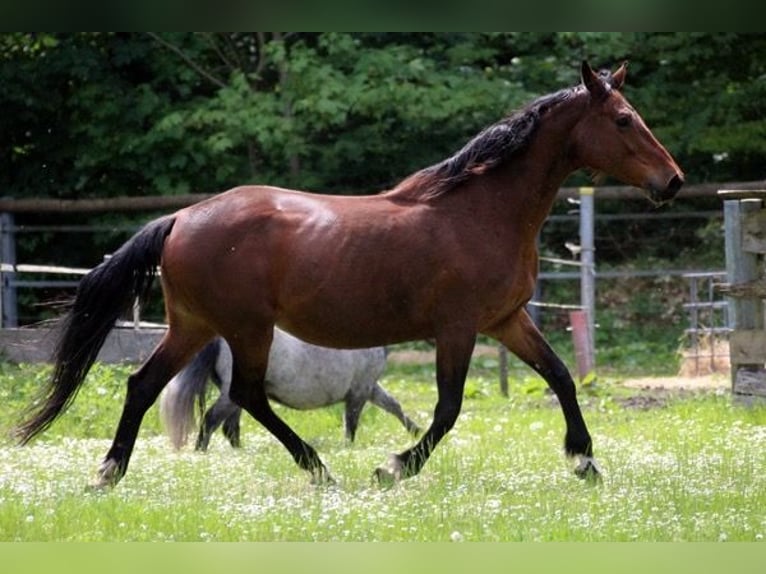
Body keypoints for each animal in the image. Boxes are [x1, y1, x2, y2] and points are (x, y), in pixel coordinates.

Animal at [162, 330, 424, 452]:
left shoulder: (369, 388)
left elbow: (395, 407)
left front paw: (417, 432)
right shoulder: (360, 391)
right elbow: (351, 424)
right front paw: (348, 448)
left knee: (229, 427)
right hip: (231, 395)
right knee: (212, 421)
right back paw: (200, 453)